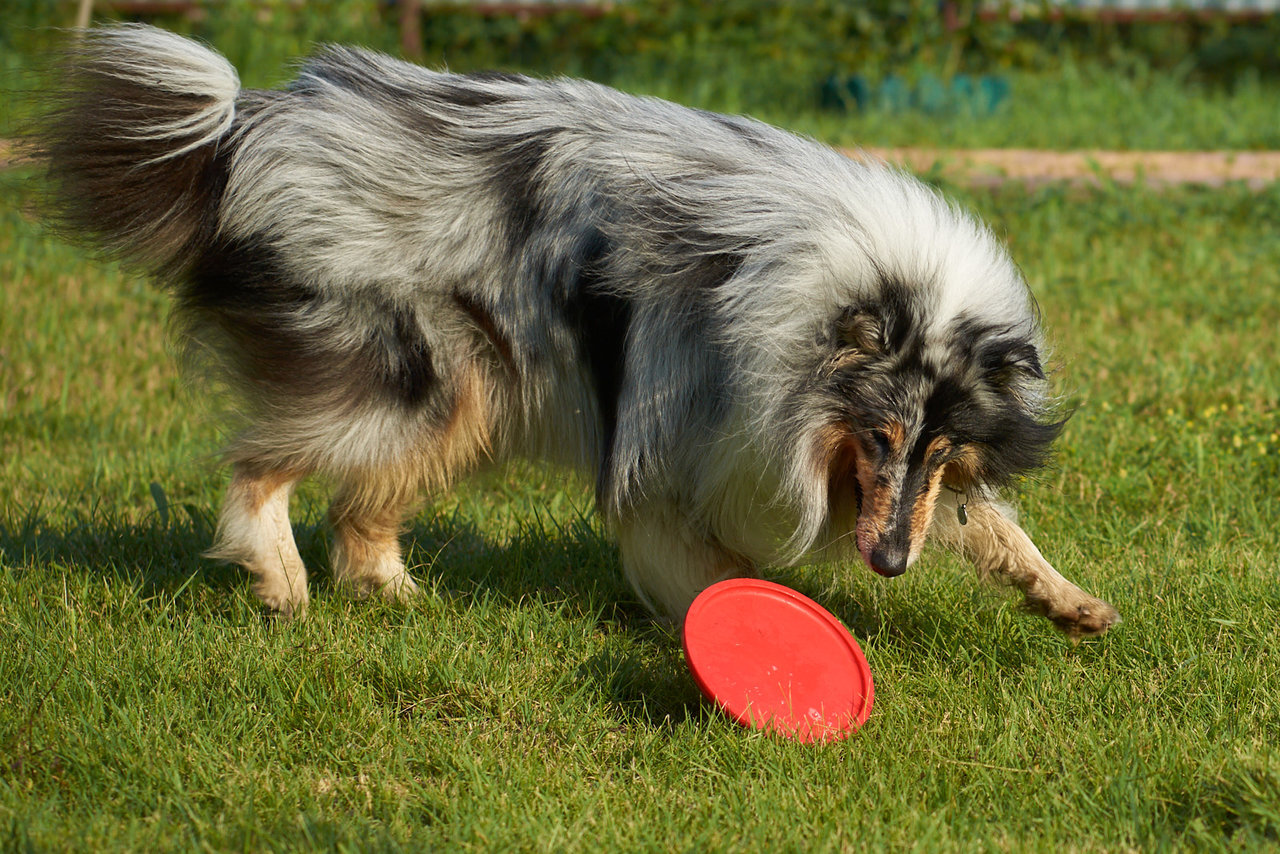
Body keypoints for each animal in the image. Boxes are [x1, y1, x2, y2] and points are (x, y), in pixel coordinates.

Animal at [24, 23, 1116, 637]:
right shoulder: (689, 436)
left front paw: (1067, 602)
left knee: (359, 512)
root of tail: (252, 126)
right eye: (879, 435)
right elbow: (698, 557)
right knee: (261, 470)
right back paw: (281, 583)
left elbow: (990, 522)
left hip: (466, 394)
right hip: (415, 378)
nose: (888, 565)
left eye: (936, 447)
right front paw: (721, 625)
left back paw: (401, 601)